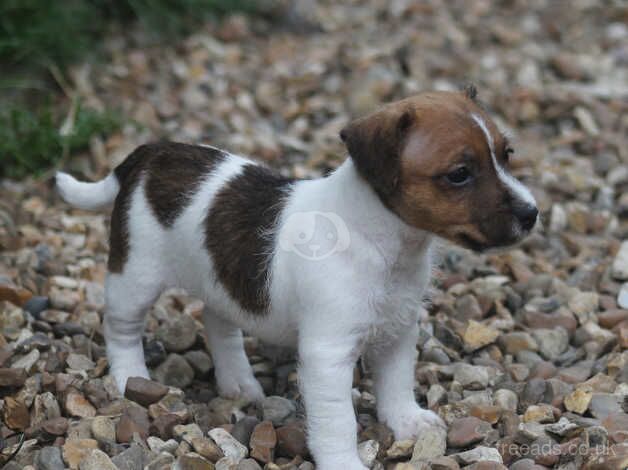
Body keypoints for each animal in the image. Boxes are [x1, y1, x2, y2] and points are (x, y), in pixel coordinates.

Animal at [59, 89, 536, 470]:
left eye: (507, 154)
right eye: (459, 174)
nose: (532, 213)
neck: (381, 241)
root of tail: (147, 156)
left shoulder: (398, 331)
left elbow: (397, 383)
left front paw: (407, 421)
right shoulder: (328, 355)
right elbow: (338, 421)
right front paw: (344, 463)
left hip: (219, 276)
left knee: (218, 320)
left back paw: (238, 382)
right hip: (135, 276)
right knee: (121, 328)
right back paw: (130, 378)